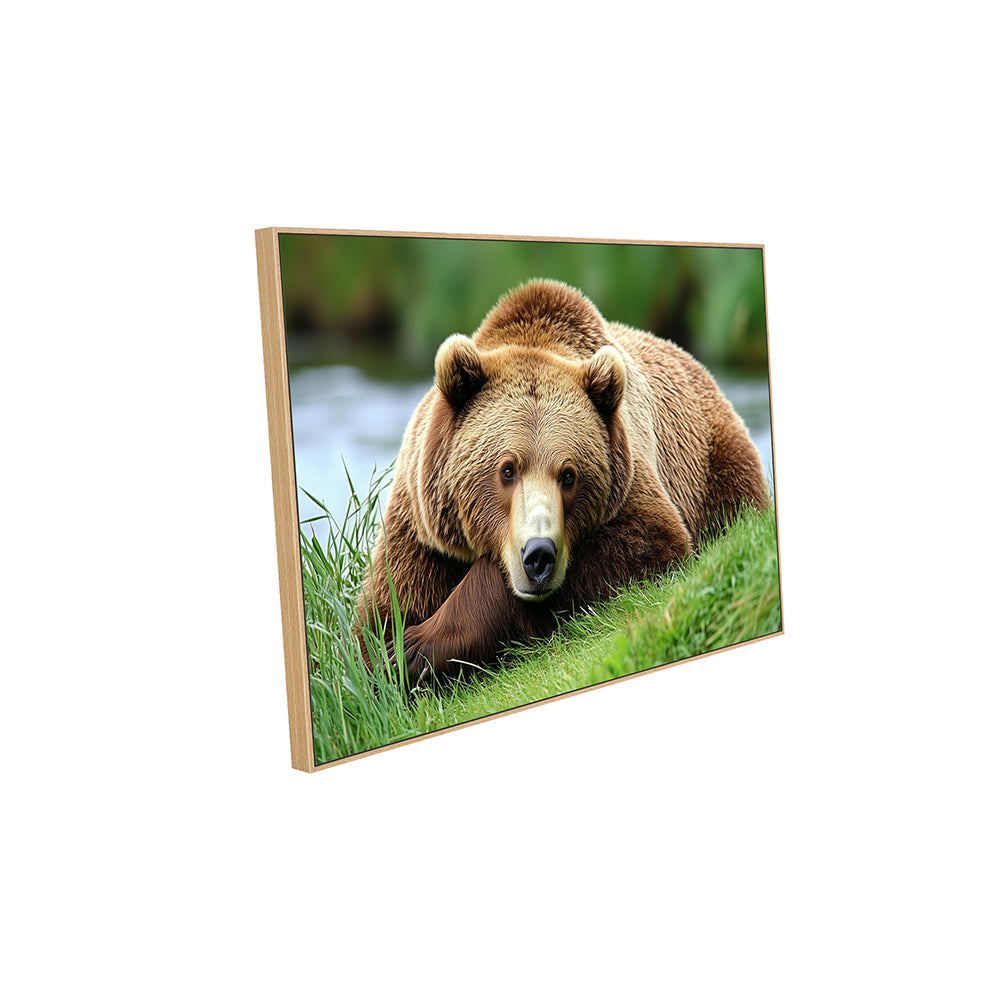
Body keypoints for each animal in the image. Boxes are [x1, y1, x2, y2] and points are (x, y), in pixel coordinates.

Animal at [357, 278, 768, 686]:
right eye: (507, 470)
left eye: (568, 474)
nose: (539, 556)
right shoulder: (423, 528)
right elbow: (383, 612)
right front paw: (387, 658)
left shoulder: (628, 480)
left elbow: (648, 541)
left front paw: (415, 647)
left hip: (715, 460)